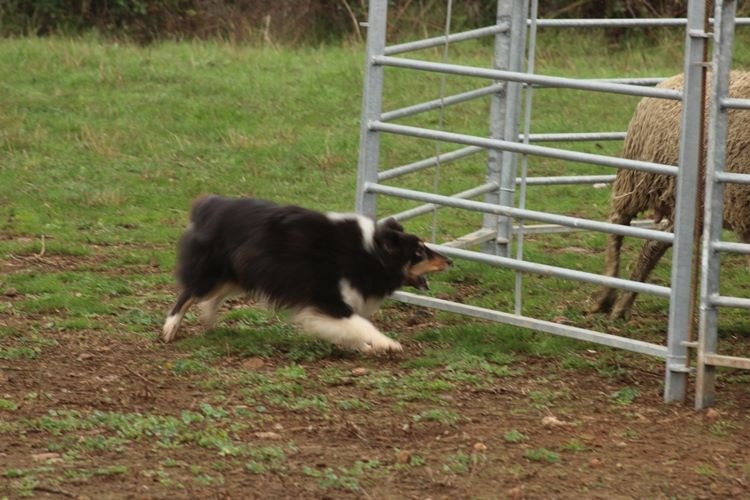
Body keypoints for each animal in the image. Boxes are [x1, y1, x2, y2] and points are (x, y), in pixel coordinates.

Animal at [162, 194, 452, 352]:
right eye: (419, 253)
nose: (449, 261)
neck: (370, 253)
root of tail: (209, 206)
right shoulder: (328, 300)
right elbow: (360, 324)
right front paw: (387, 344)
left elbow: (350, 327)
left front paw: (361, 346)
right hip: (214, 272)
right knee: (188, 294)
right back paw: (169, 329)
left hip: (238, 274)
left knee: (210, 299)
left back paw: (210, 323)